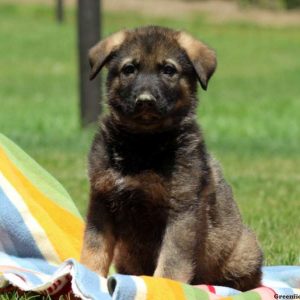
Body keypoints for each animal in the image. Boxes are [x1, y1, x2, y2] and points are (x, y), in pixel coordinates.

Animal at [80, 25, 262, 290]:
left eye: (168, 70)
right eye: (129, 69)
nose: (145, 101)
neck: (143, 143)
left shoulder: (181, 211)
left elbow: (172, 259)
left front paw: (165, 286)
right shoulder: (102, 200)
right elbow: (94, 247)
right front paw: (86, 276)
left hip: (244, 251)